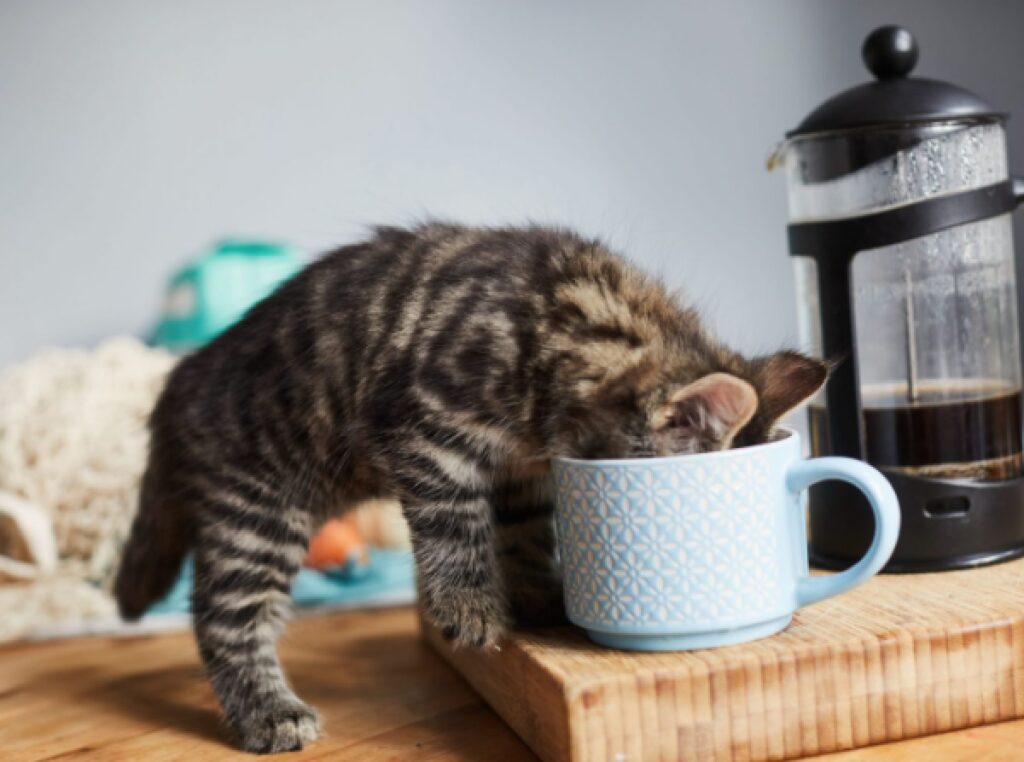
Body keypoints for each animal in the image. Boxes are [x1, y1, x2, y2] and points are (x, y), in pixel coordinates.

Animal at [116, 223, 827, 753]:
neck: (572, 323)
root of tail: (178, 383)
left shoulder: (523, 471)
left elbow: (522, 536)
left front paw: (535, 592)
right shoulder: (424, 428)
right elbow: (456, 524)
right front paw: (468, 604)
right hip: (260, 512)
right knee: (223, 618)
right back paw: (268, 712)